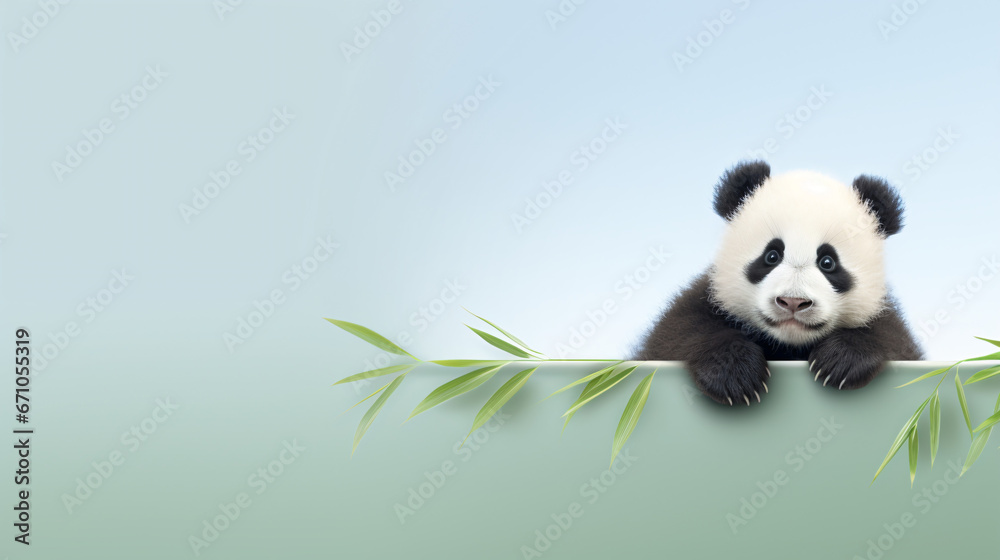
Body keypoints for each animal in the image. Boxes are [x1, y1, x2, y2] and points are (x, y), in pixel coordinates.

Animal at [634, 161, 923, 405]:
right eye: (772, 256)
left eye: (828, 262)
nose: (793, 302)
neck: (788, 344)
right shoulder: (706, 298)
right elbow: (678, 332)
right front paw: (735, 375)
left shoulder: (887, 321)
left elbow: (892, 339)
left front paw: (840, 362)